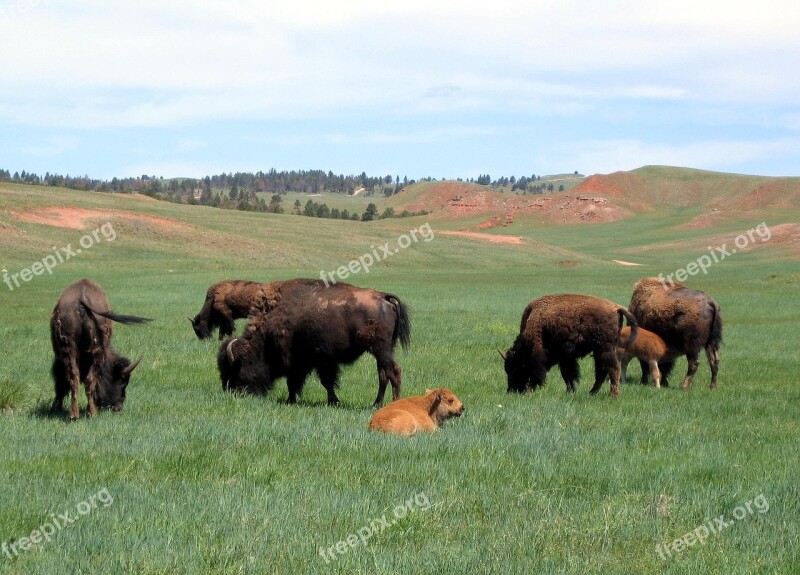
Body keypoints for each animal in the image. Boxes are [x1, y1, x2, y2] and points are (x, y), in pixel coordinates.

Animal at [50, 278, 152, 418]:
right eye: (123, 383)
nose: (118, 407)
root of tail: (82, 299)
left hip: (73, 349)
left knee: (75, 379)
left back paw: (78, 414)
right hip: (93, 351)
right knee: (85, 380)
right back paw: (89, 413)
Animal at [216, 280, 410, 408]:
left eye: (236, 369)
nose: (232, 392)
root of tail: (384, 298)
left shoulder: (303, 361)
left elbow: (300, 382)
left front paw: (292, 401)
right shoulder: (321, 362)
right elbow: (325, 382)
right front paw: (332, 401)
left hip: (380, 350)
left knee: (394, 372)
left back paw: (395, 404)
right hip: (383, 351)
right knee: (383, 375)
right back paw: (376, 404)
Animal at [500, 294, 636, 398]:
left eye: (516, 367)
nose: (511, 390)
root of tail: (616, 308)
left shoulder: (539, 354)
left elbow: (539, 373)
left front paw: (530, 391)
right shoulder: (565, 358)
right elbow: (568, 375)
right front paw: (570, 392)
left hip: (605, 349)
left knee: (613, 369)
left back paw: (613, 395)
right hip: (600, 351)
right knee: (602, 371)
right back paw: (592, 393)